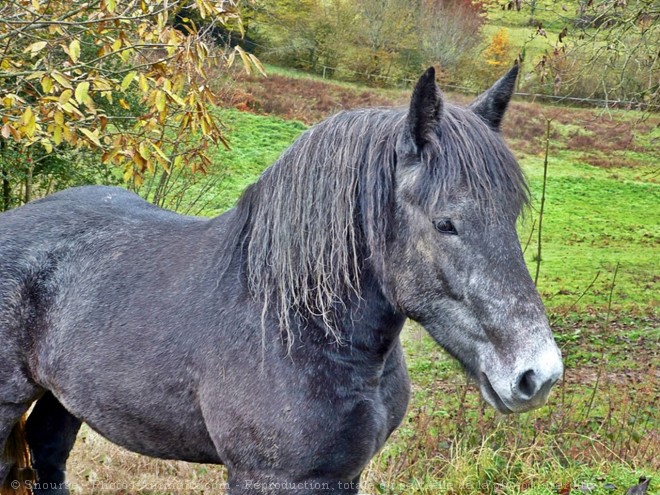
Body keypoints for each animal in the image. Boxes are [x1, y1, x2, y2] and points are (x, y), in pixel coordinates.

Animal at [0, 66, 564, 495]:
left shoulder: (343, 476)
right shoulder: (267, 478)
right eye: (446, 223)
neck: (293, 324)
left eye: (512, 216)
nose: (538, 375)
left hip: (63, 399)